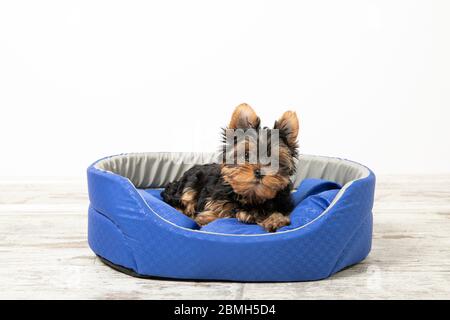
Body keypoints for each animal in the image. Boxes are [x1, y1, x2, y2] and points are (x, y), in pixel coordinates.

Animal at [162, 104, 298, 231]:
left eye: (275, 160)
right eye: (246, 155)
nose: (260, 172)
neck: (252, 197)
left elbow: (278, 212)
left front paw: (275, 220)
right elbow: (218, 213)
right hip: (191, 182)